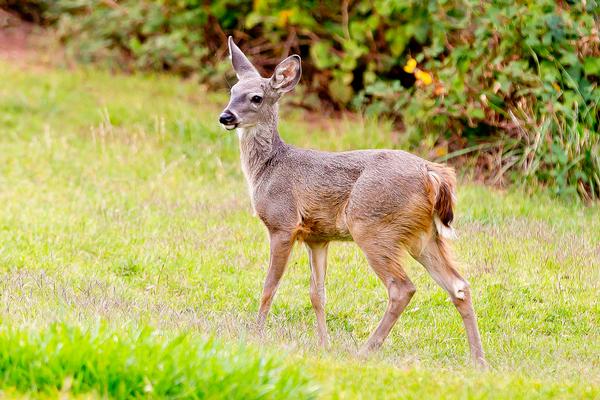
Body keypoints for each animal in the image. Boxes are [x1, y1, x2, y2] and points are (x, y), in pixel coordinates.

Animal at [220, 36, 488, 368]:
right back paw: (479, 360)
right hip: (422, 235)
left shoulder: (283, 223)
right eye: (232, 91)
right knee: (459, 286)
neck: (268, 169)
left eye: (256, 98)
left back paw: (365, 350)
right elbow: (317, 294)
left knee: (402, 288)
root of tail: (433, 174)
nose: (226, 116)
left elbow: (269, 287)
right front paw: (323, 345)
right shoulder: (317, 237)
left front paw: (256, 335)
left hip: (372, 225)